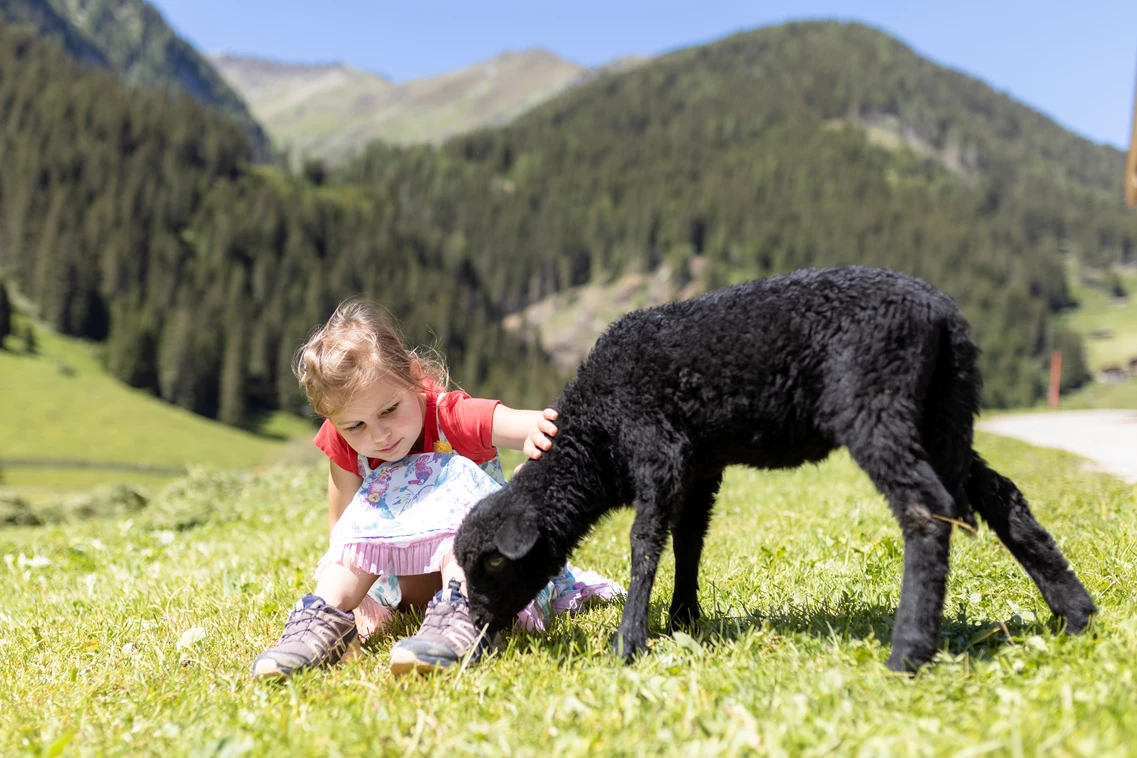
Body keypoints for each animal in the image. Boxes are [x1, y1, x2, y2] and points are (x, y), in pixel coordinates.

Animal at [454, 265, 1100, 668]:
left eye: (492, 564)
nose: (480, 632)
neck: (596, 437)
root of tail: (942, 314)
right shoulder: (701, 463)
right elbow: (690, 537)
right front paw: (684, 619)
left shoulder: (659, 449)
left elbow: (645, 542)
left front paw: (630, 642)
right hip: (942, 412)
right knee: (998, 492)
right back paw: (1074, 612)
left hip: (877, 403)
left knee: (927, 507)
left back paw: (908, 652)